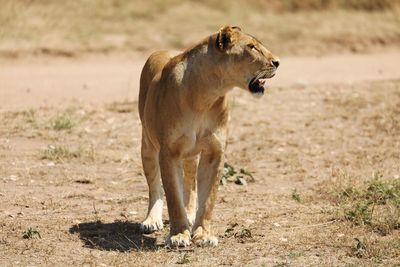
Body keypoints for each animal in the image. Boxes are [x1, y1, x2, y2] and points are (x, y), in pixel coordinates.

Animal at [139, 26, 280, 248]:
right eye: (251, 47)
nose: (277, 62)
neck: (205, 96)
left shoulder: (215, 152)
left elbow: (208, 199)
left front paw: (203, 235)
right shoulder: (168, 152)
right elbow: (172, 196)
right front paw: (179, 235)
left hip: (189, 153)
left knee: (189, 181)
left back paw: (189, 214)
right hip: (148, 145)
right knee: (154, 184)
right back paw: (151, 220)